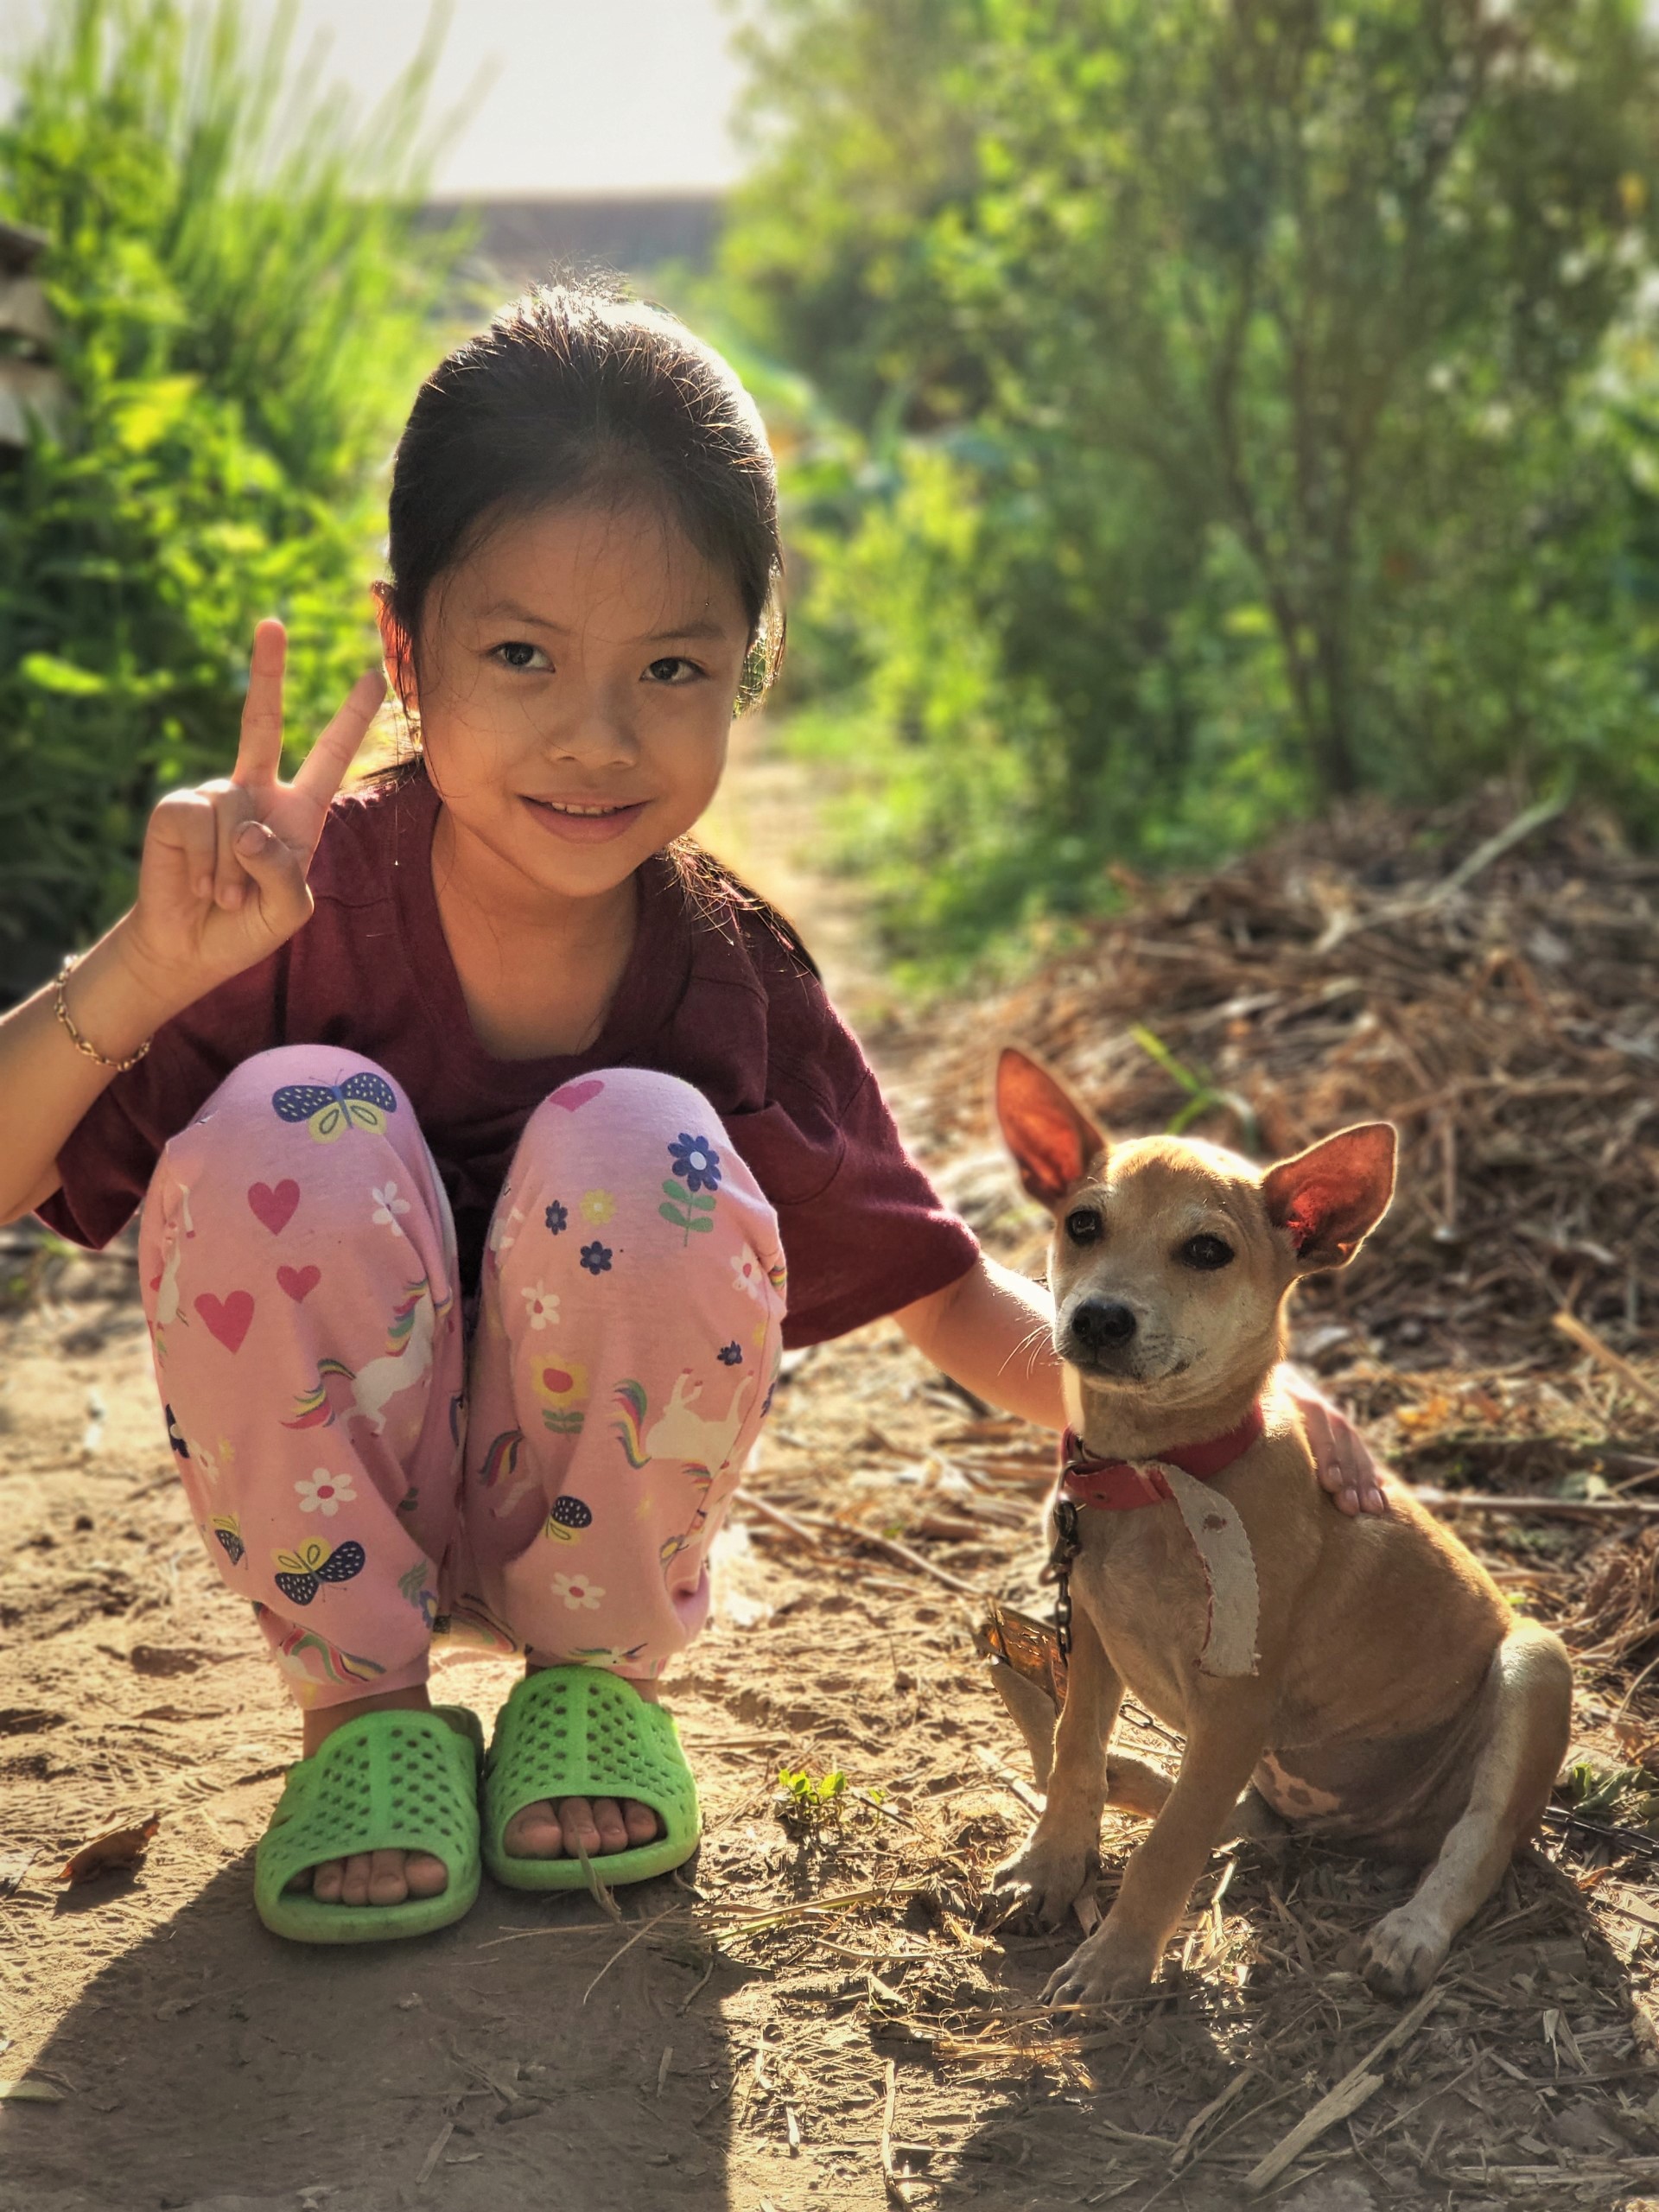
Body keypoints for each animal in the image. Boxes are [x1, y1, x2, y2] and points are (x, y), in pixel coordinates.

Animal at [987, 1047, 1572, 2006]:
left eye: (1207, 1251)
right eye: (1082, 1223)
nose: (1100, 1316)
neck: (1160, 1474)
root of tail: (1366, 1833)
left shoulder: (1235, 1703)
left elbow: (1166, 1852)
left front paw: (1115, 1961)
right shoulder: (1099, 1639)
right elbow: (1074, 1754)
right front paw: (1051, 1868)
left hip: (1535, 1662)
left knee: (1478, 1841)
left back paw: (1412, 1931)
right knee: (1224, 1816)